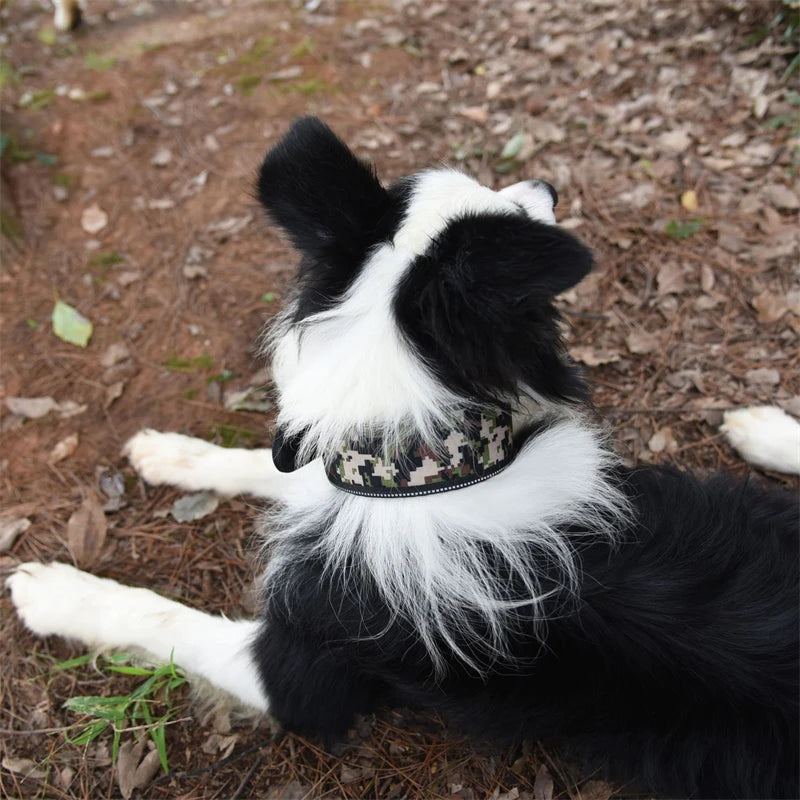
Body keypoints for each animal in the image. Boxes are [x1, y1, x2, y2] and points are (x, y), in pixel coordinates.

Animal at [7, 115, 800, 796]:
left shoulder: (302, 676)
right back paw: (761, 426)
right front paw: (170, 453)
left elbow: (165, 619)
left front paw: (56, 591)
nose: (548, 184)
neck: (427, 473)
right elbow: (272, 469)